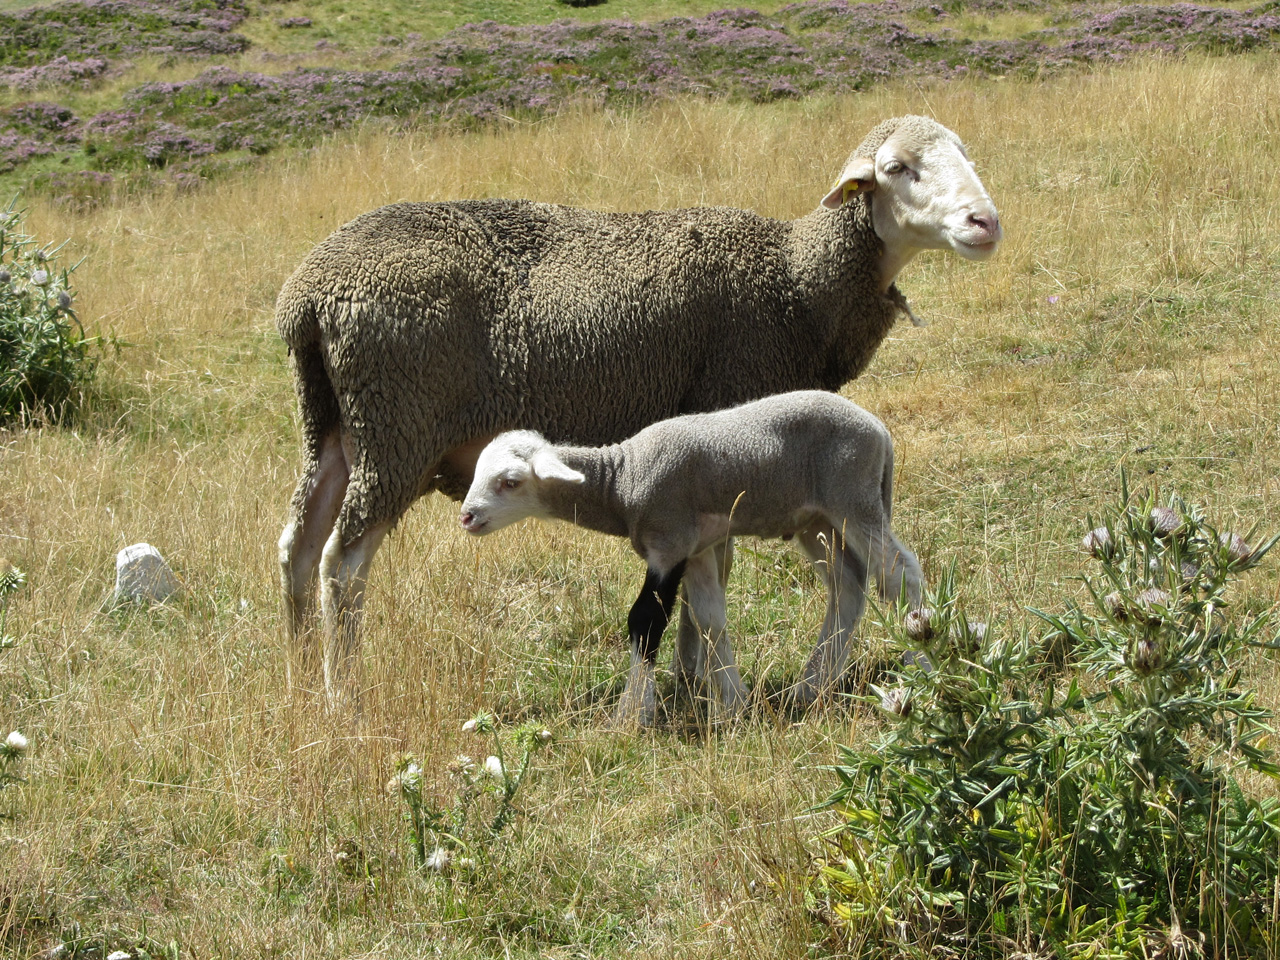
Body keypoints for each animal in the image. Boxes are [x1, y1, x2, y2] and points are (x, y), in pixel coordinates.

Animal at [460, 391, 921, 727]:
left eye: (510, 482)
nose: (467, 516)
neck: (622, 480)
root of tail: (879, 429)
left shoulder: (670, 543)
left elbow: (645, 621)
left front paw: (632, 714)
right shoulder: (696, 548)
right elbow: (709, 617)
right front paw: (732, 705)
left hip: (852, 496)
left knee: (901, 573)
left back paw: (920, 658)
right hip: (815, 520)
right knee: (849, 586)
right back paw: (813, 686)